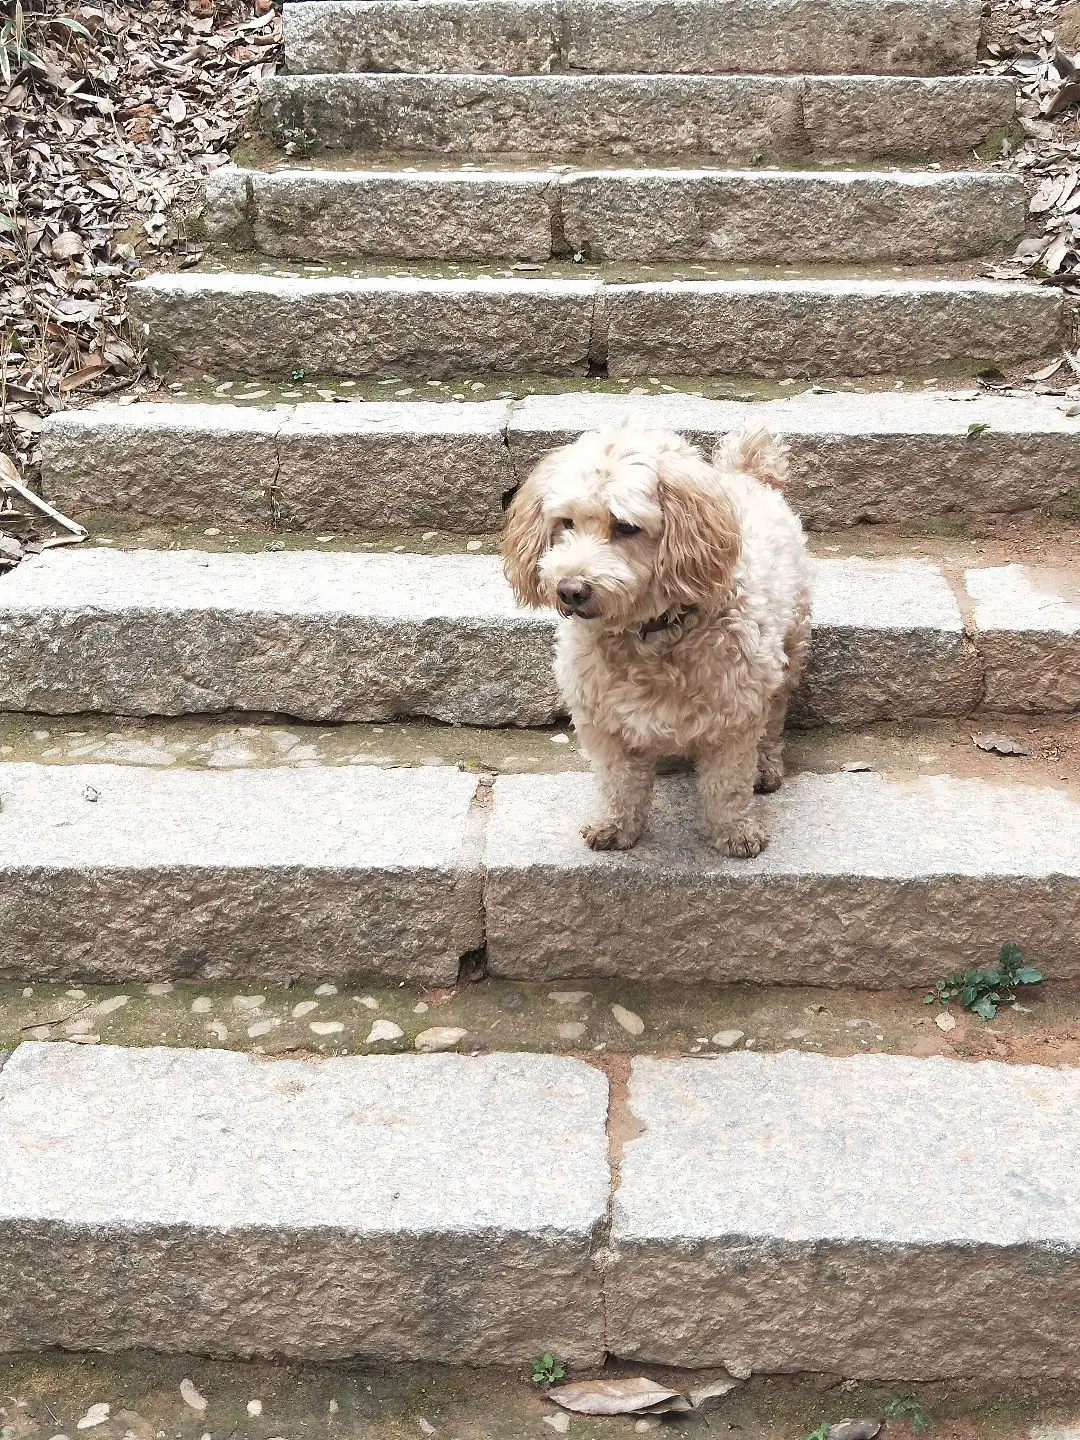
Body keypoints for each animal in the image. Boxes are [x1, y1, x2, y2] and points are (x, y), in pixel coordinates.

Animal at [506, 423, 812, 852]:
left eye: (626, 527)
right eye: (566, 522)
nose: (569, 589)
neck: (649, 632)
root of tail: (746, 473)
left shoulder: (735, 716)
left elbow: (727, 786)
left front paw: (735, 832)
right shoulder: (602, 722)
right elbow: (619, 782)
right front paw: (616, 826)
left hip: (789, 648)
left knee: (773, 719)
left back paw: (766, 766)